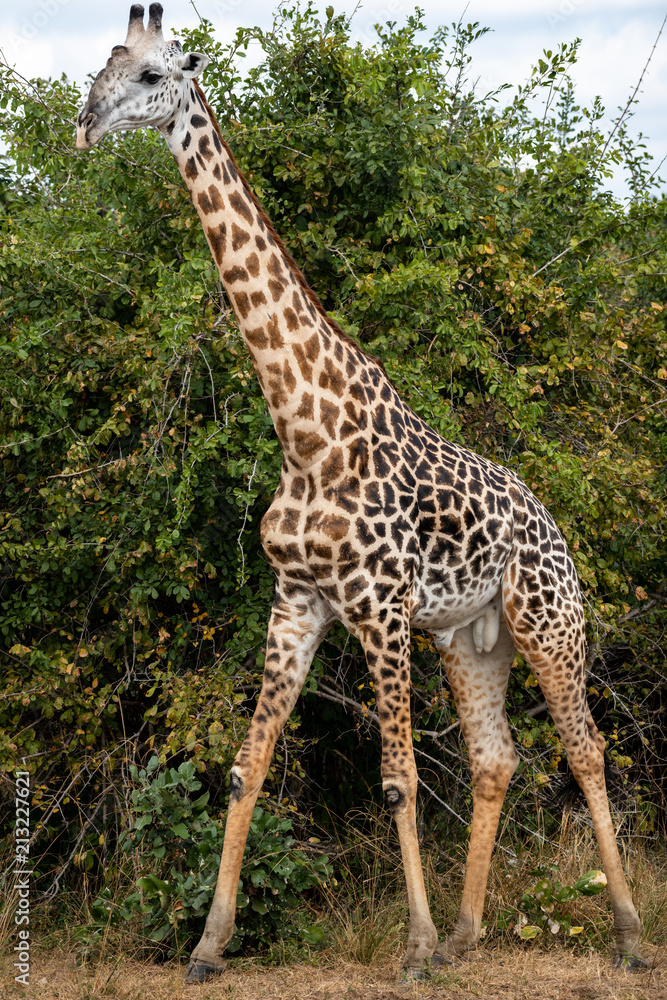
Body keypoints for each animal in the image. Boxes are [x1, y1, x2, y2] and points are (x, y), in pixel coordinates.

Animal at [76, 4, 644, 982]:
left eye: (153, 76)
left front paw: (409, 947)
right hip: (470, 639)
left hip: (546, 620)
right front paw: (208, 945)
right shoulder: (297, 600)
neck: (304, 429)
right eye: (104, 65)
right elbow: (245, 767)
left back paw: (626, 932)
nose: (83, 122)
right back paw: (466, 933)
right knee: (495, 758)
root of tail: (553, 524)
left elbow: (397, 779)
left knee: (584, 748)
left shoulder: (377, 605)